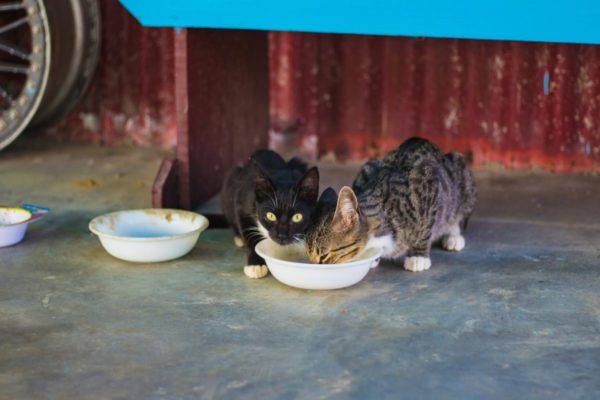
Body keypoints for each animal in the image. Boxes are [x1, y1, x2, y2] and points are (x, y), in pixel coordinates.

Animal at [220, 150, 322, 278]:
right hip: (231, 180)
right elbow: (249, 234)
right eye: (270, 216)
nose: (282, 235)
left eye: (297, 217)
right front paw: (255, 265)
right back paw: (239, 238)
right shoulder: (241, 205)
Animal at [308, 138, 476, 272]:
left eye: (324, 256)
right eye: (309, 255)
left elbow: (426, 227)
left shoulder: (429, 182)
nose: (315, 267)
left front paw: (418, 256)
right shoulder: (366, 171)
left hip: (461, 176)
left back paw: (453, 235)